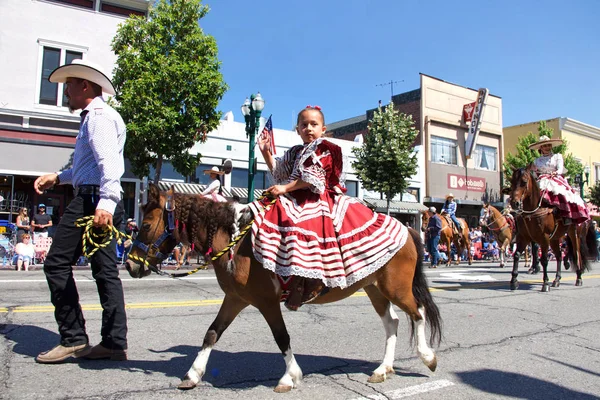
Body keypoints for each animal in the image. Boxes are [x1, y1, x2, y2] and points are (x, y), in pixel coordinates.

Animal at [125, 186, 440, 392]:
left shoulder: (266, 301)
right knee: (392, 322)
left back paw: (428, 357)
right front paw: (192, 374)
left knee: (418, 312)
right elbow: (212, 333)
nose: (129, 265)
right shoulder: (235, 299)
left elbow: (281, 337)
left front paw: (289, 377)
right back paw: (382, 370)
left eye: (146, 225)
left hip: (395, 288)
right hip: (374, 288)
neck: (236, 241)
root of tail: (408, 229)